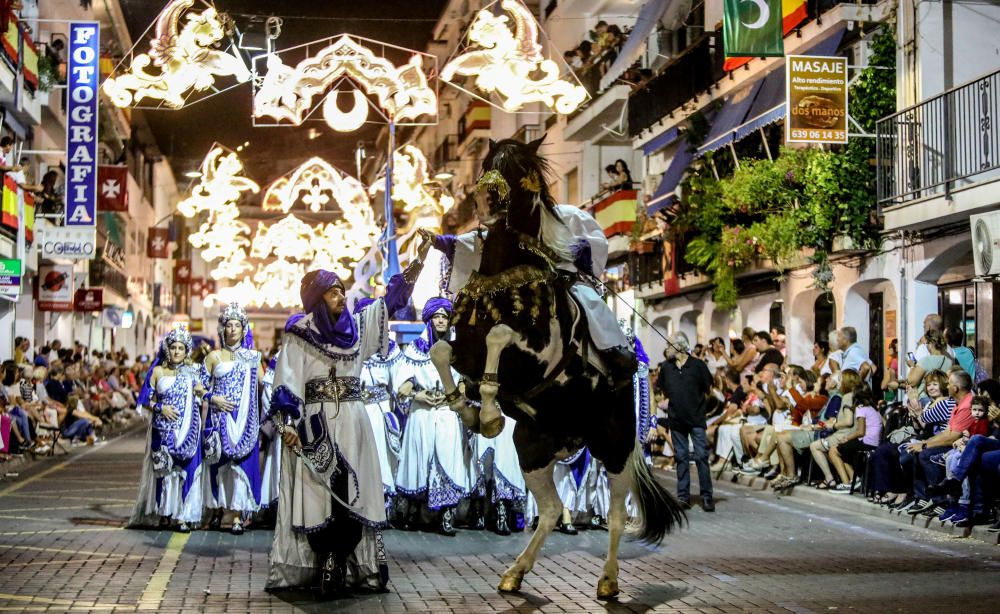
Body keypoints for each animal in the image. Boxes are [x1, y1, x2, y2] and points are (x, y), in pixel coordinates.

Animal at [426, 138, 684, 600]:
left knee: (617, 513)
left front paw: (488, 413)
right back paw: (515, 572)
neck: (507, 278)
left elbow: (500, 337)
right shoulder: (465, 351)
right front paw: (468, 408)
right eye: (489, 163)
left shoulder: (533, 354)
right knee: (550, 509)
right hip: (533, 449)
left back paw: (608, 580)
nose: (487, 202)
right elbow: (440, 351)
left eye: (517, 167)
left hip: (614, 446)